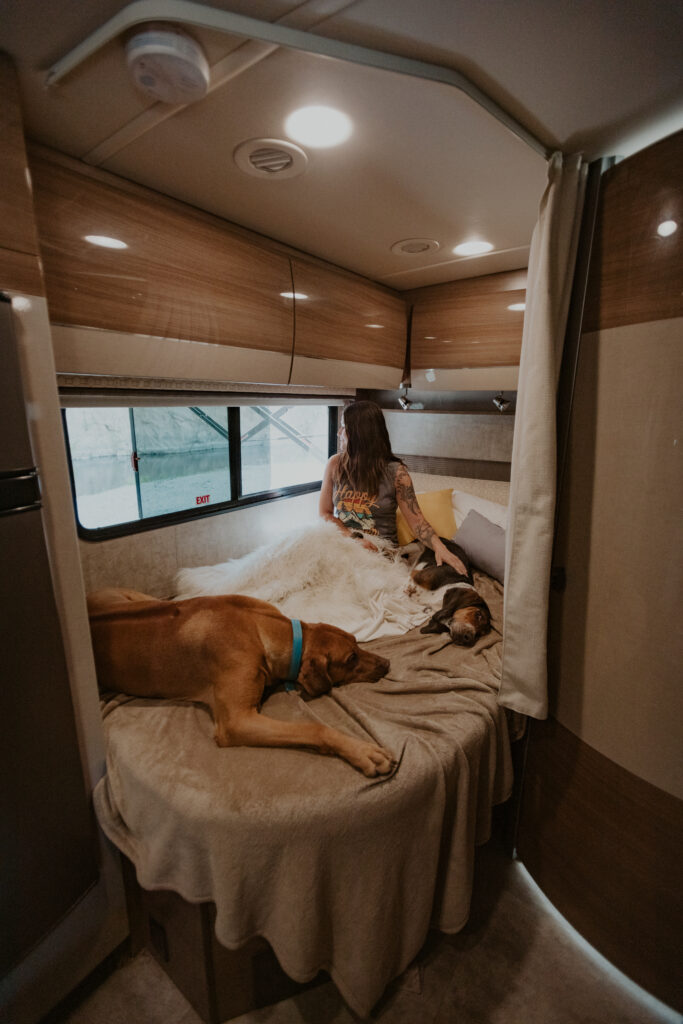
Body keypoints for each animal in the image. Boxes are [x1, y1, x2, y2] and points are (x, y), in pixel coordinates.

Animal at [88, 585, 393, 774]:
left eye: (356, 641)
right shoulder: (237, 722)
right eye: (351, 658)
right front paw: (363, 752)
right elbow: (313, 728)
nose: (387, 664)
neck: (260, 629)